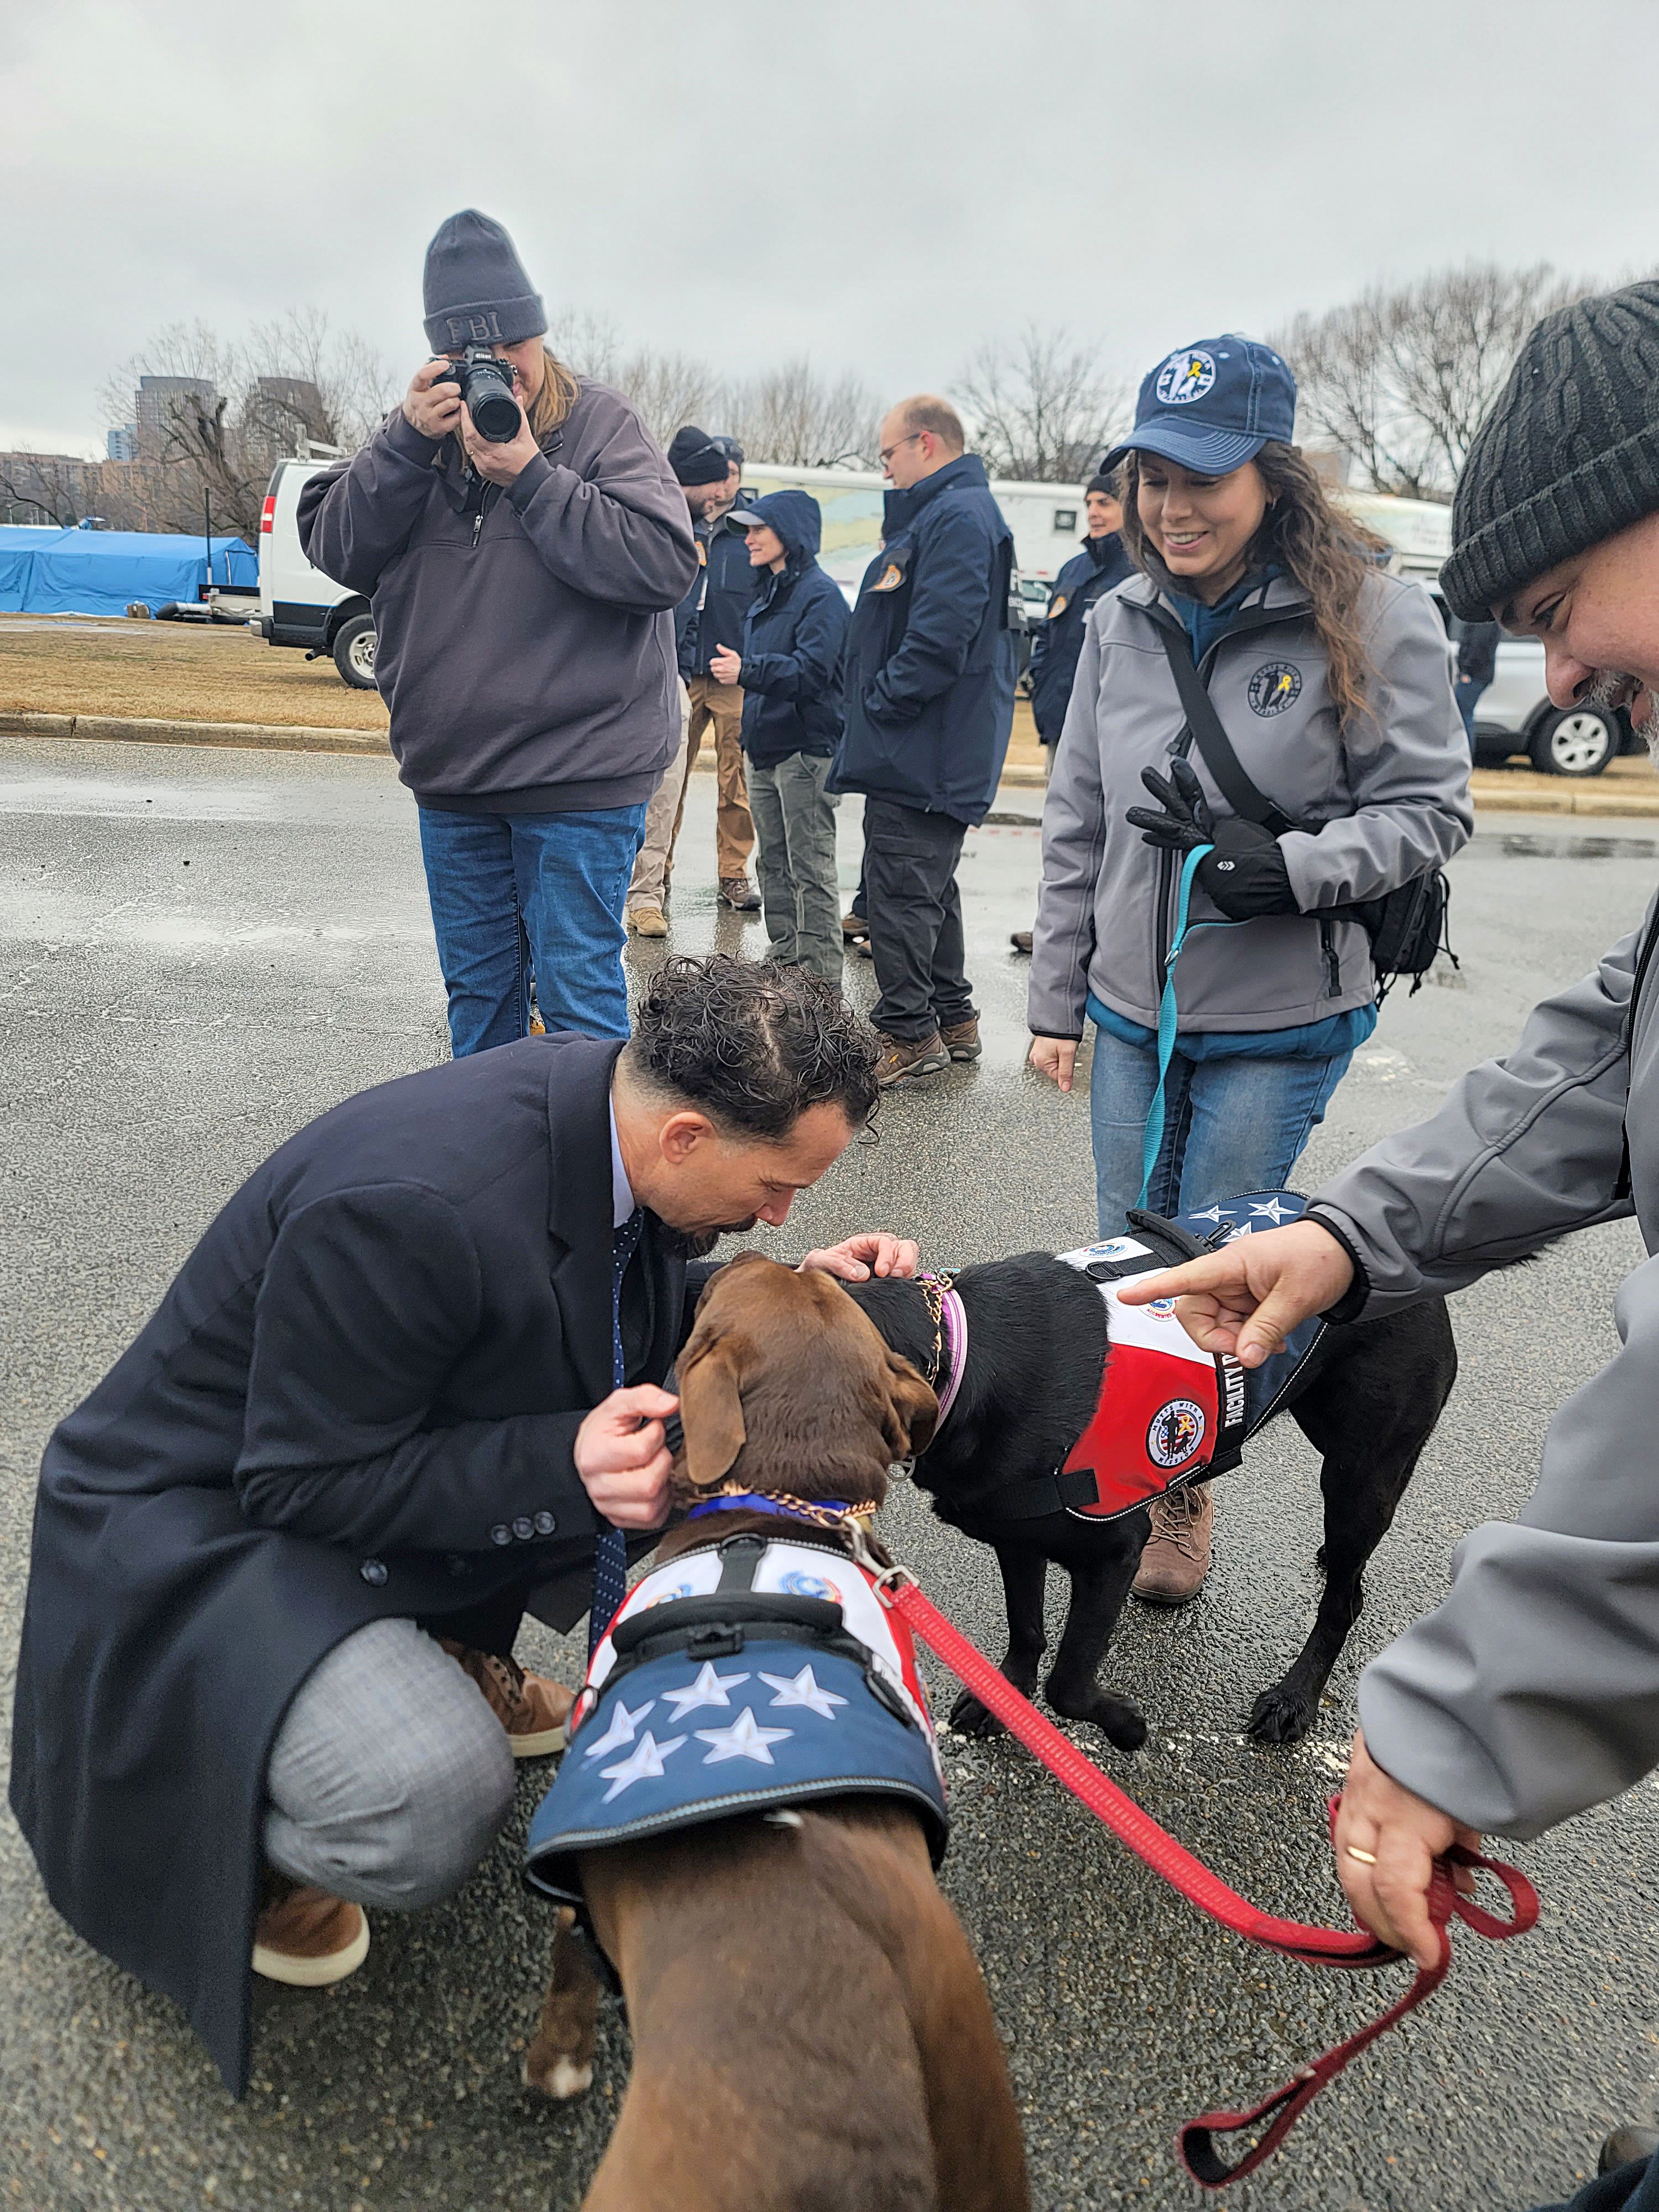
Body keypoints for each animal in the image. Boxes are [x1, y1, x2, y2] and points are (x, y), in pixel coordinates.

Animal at [521, 1254, 1030, 2212]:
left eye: (723, 1299)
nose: (754, 1254)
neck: (771, 1521)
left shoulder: (575, 1906)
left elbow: (566, 1963)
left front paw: (556, 2066)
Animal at [844, 1237, 1456, 1750]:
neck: (963, 1363)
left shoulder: (1114, 1553)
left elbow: (1068, 1680)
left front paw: (1124, 1725)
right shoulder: (1016, 1537)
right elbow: (1026, 1631)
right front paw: (1007, 1699)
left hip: (1358, 1472)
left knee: (1343, 1600)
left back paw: (1295, 1697)